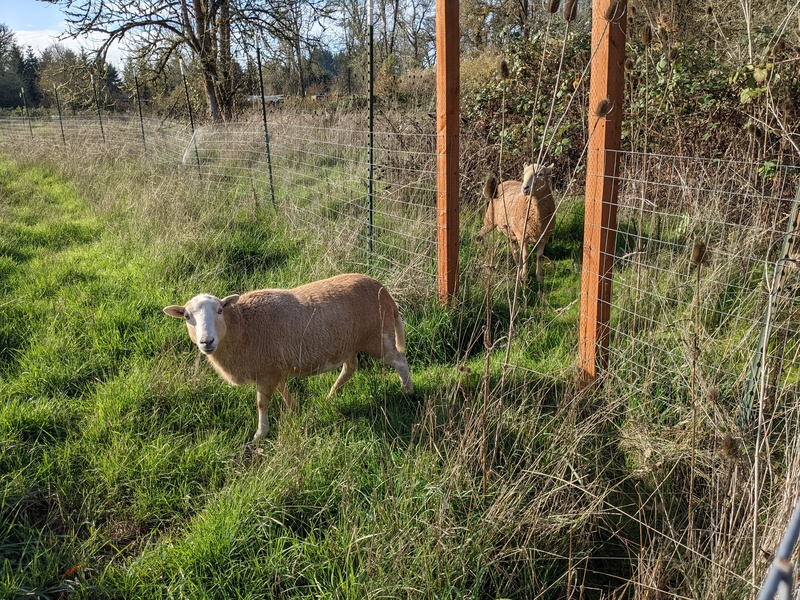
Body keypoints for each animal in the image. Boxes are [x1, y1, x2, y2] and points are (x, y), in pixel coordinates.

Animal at [162, 274, 412, 442]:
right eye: (187, 316)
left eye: (220, 311)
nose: (207, 342)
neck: (241, 326)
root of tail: (384, 291)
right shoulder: (272, 368)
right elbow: (283, 391)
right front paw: (294, 408)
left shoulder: (266, 371)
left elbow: (261, 403)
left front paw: (260, 434)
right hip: (350, 343)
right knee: (350, 367)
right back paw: (331, 396)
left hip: (377, 338)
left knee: (399, 361)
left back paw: (407, 392)